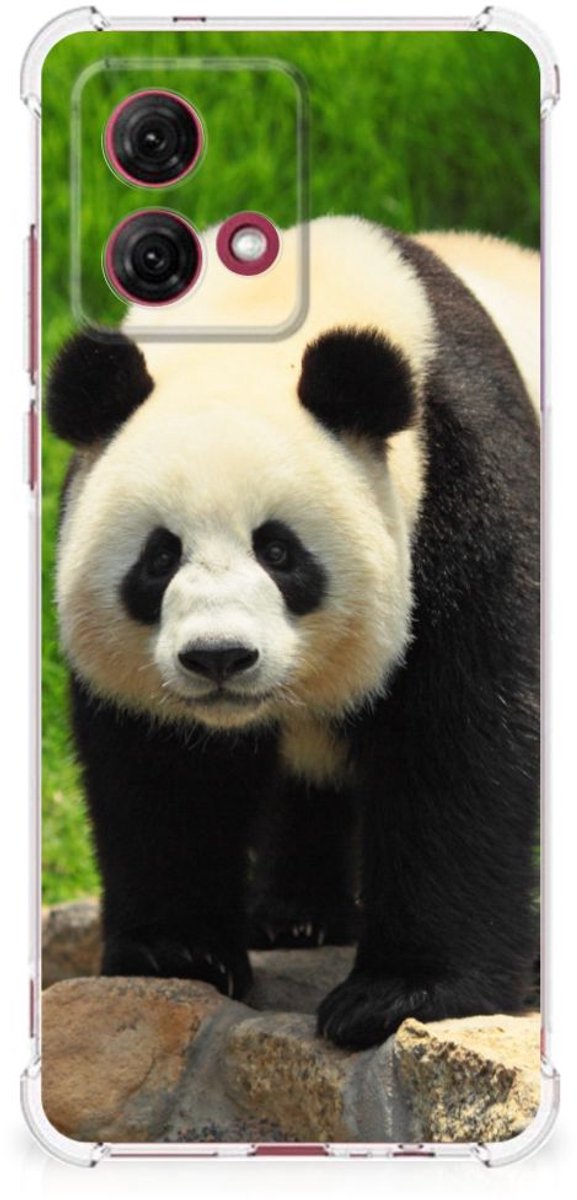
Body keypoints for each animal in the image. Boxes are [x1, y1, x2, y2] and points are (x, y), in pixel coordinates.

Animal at [47, 217, 540, 1051]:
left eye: (278, 551)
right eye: (159, 557)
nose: (218, 657)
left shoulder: (464, 485)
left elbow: (461, 739)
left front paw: (399, 994)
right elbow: (160, 768)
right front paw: (178, 954)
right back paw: (296, 917)